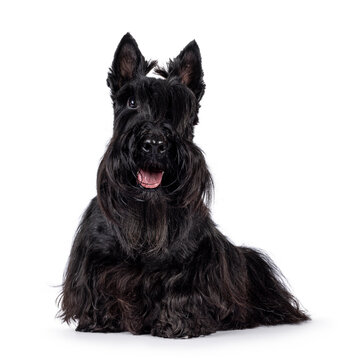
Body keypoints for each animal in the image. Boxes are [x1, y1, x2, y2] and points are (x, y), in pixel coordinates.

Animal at [57, 33, 308, 338]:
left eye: (178, 108)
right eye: (131, 102)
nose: (154, 144)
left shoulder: (192, 262)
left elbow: (181, 291)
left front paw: (177, 323)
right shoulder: (95, 257)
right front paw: (98, 320)